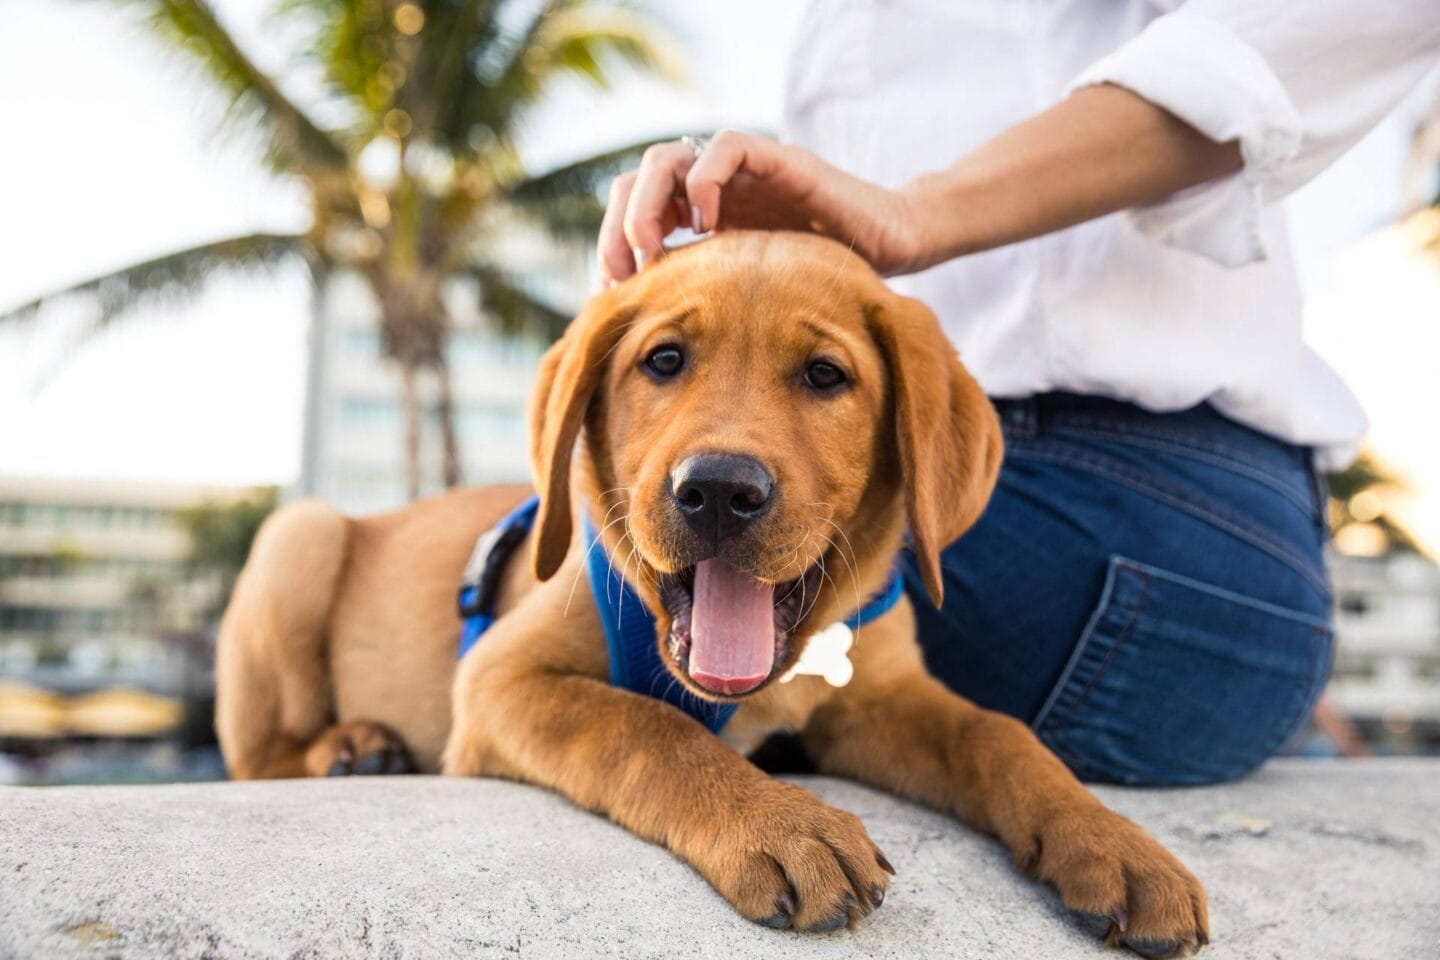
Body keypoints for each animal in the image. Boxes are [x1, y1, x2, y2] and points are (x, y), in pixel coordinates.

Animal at [218, 230, 1209, 955]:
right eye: (663, 361)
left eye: (825, 376)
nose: (720, 491)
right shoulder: (499, 682)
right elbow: (646, 727)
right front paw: (777, 822)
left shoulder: (878, 701)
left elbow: (999, 735)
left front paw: (1112, 842)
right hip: (297, 536)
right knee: (261, 756)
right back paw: (351, 747)